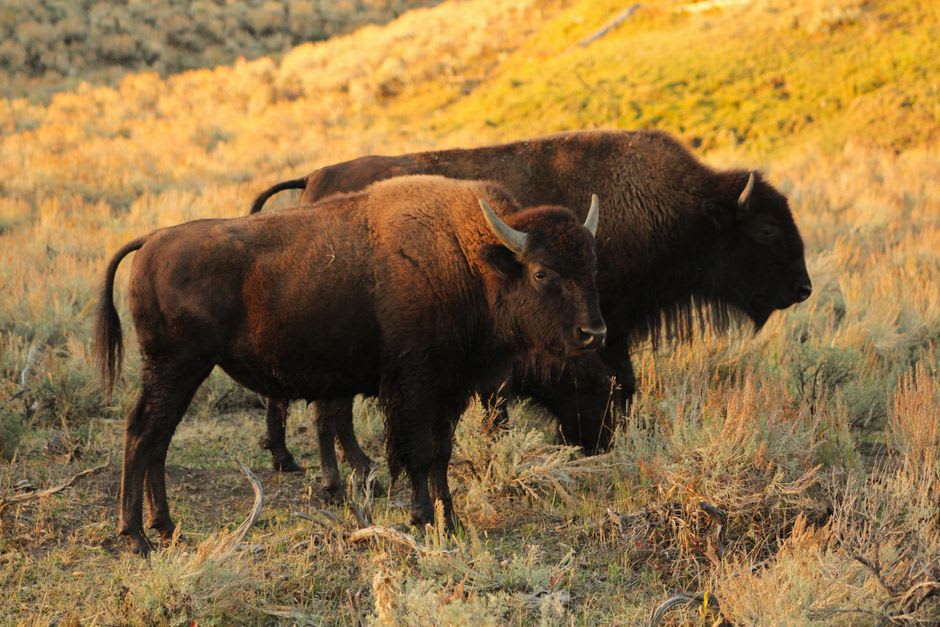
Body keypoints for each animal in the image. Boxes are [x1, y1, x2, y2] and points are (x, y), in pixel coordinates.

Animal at [93, 175, 605, 555]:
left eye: (590, 267)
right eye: (541, 272)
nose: (593, 333)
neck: (467, 257)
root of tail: (152, 241)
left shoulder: (450, 390)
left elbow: (441, 453)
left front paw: (451, 521)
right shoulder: (415, 386)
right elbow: (420, 453)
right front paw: (423, 519)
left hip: (184, 372)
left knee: (158, 439)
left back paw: (166, 528)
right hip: (175, 367)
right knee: (142, 433)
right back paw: (137, 537)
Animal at [250, 130, 812, 495]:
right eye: (765, 229)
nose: (804, 288)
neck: (674, 208)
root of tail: (315, 177)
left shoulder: (602, 328)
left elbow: (622, 381)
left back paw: (311, 462)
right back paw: (308, 463)